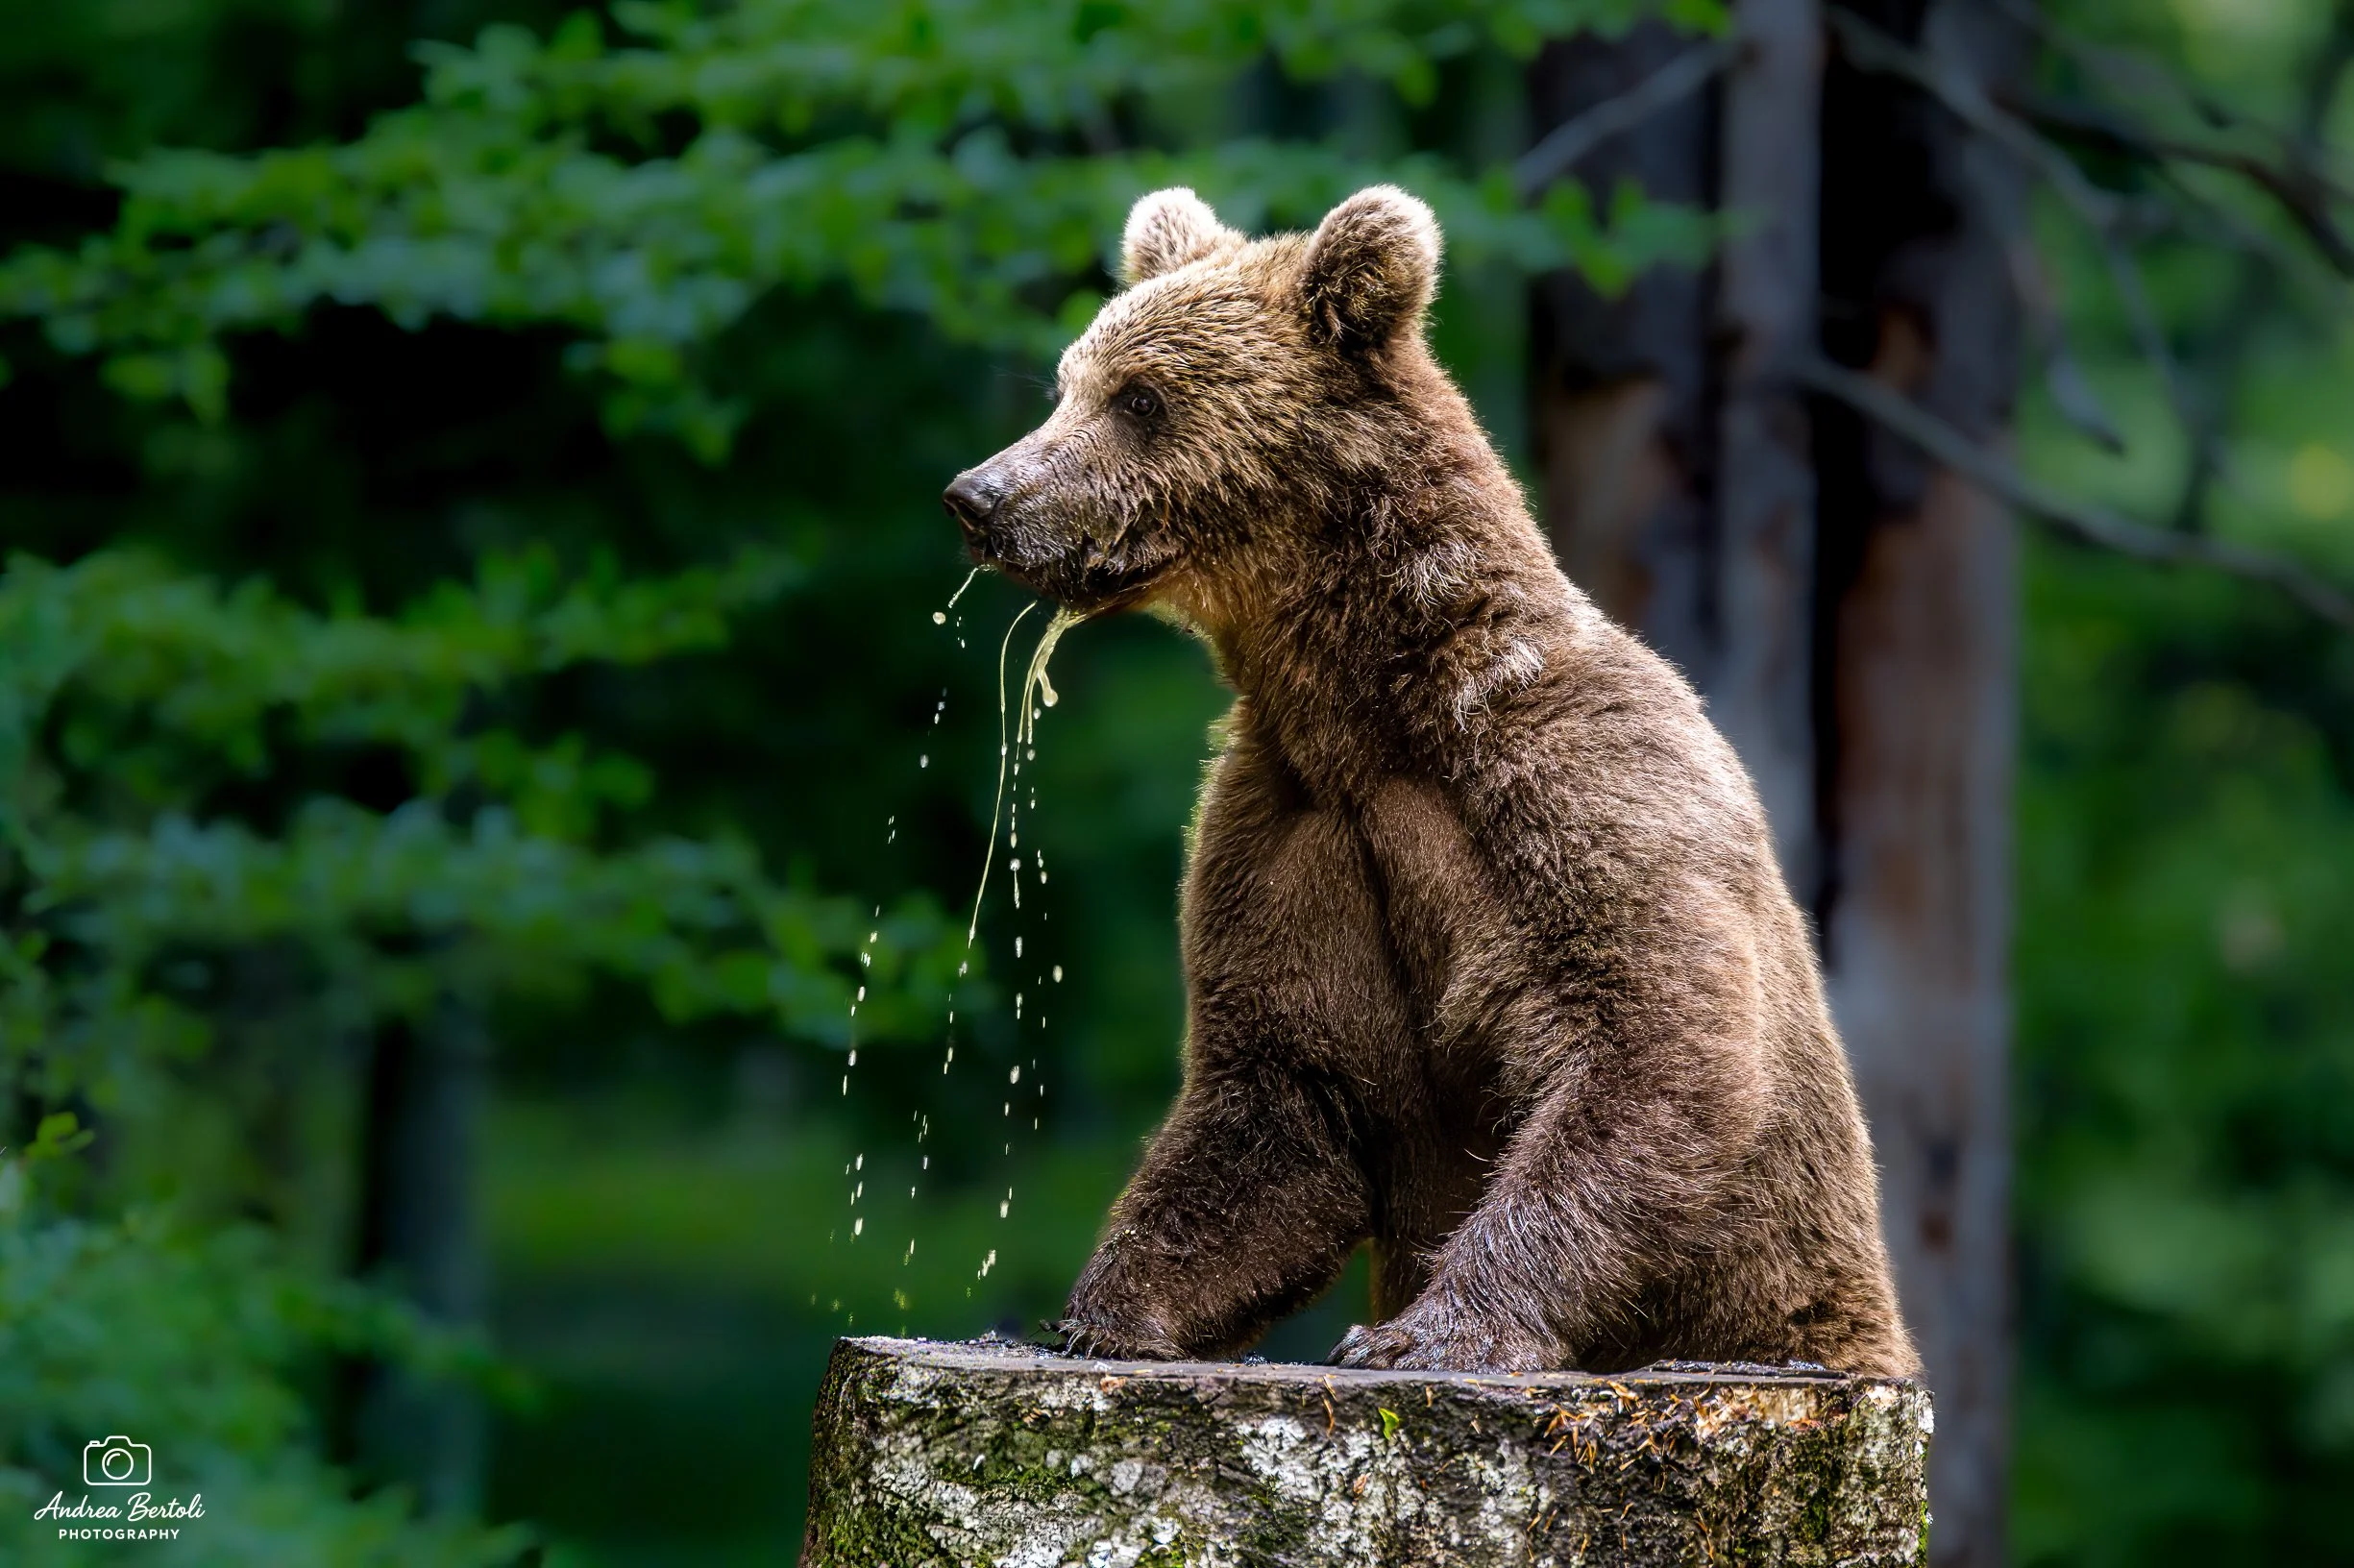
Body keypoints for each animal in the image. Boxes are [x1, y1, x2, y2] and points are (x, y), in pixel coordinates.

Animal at [941, 184, 1918, 1379]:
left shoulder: (1574, 788)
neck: (1363, 711)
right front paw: (1100, 1313)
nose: (980, 495)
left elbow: (1652, 1044)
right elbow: (1279, 1092)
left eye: (1139, 397)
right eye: (1066, 381)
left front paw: (1422, 1331)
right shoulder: (1291, 839)